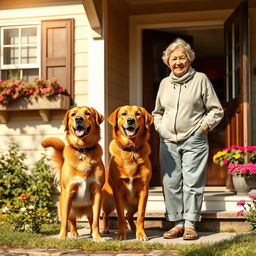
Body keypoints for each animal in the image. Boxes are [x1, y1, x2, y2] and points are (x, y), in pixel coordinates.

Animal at [41, 105, 105, 240]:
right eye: (73, 114)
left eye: (87, 113)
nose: (79, 119)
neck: (83, 150)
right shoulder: (68, 193)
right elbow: (65, 222)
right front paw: (62, 237)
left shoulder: (97, 193)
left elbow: (96, 222)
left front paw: (97, 237)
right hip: (65, 207)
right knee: (72, 220)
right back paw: (74, 232)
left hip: (90, 208)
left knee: (90, 220)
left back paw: (91, 233)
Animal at [101, 105, 154, 241]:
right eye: (124, 114)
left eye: (138, 114)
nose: (131, 120)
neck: (131, 149)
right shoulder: (118, 191)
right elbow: (120, 215)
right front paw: (121, 234)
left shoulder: (144, 191)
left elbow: (141, 216)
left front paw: (141, 234)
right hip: (108, 202)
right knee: (105, 214)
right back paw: (105, 228)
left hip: (134, 204)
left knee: (129, 215)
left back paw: (134, 228)